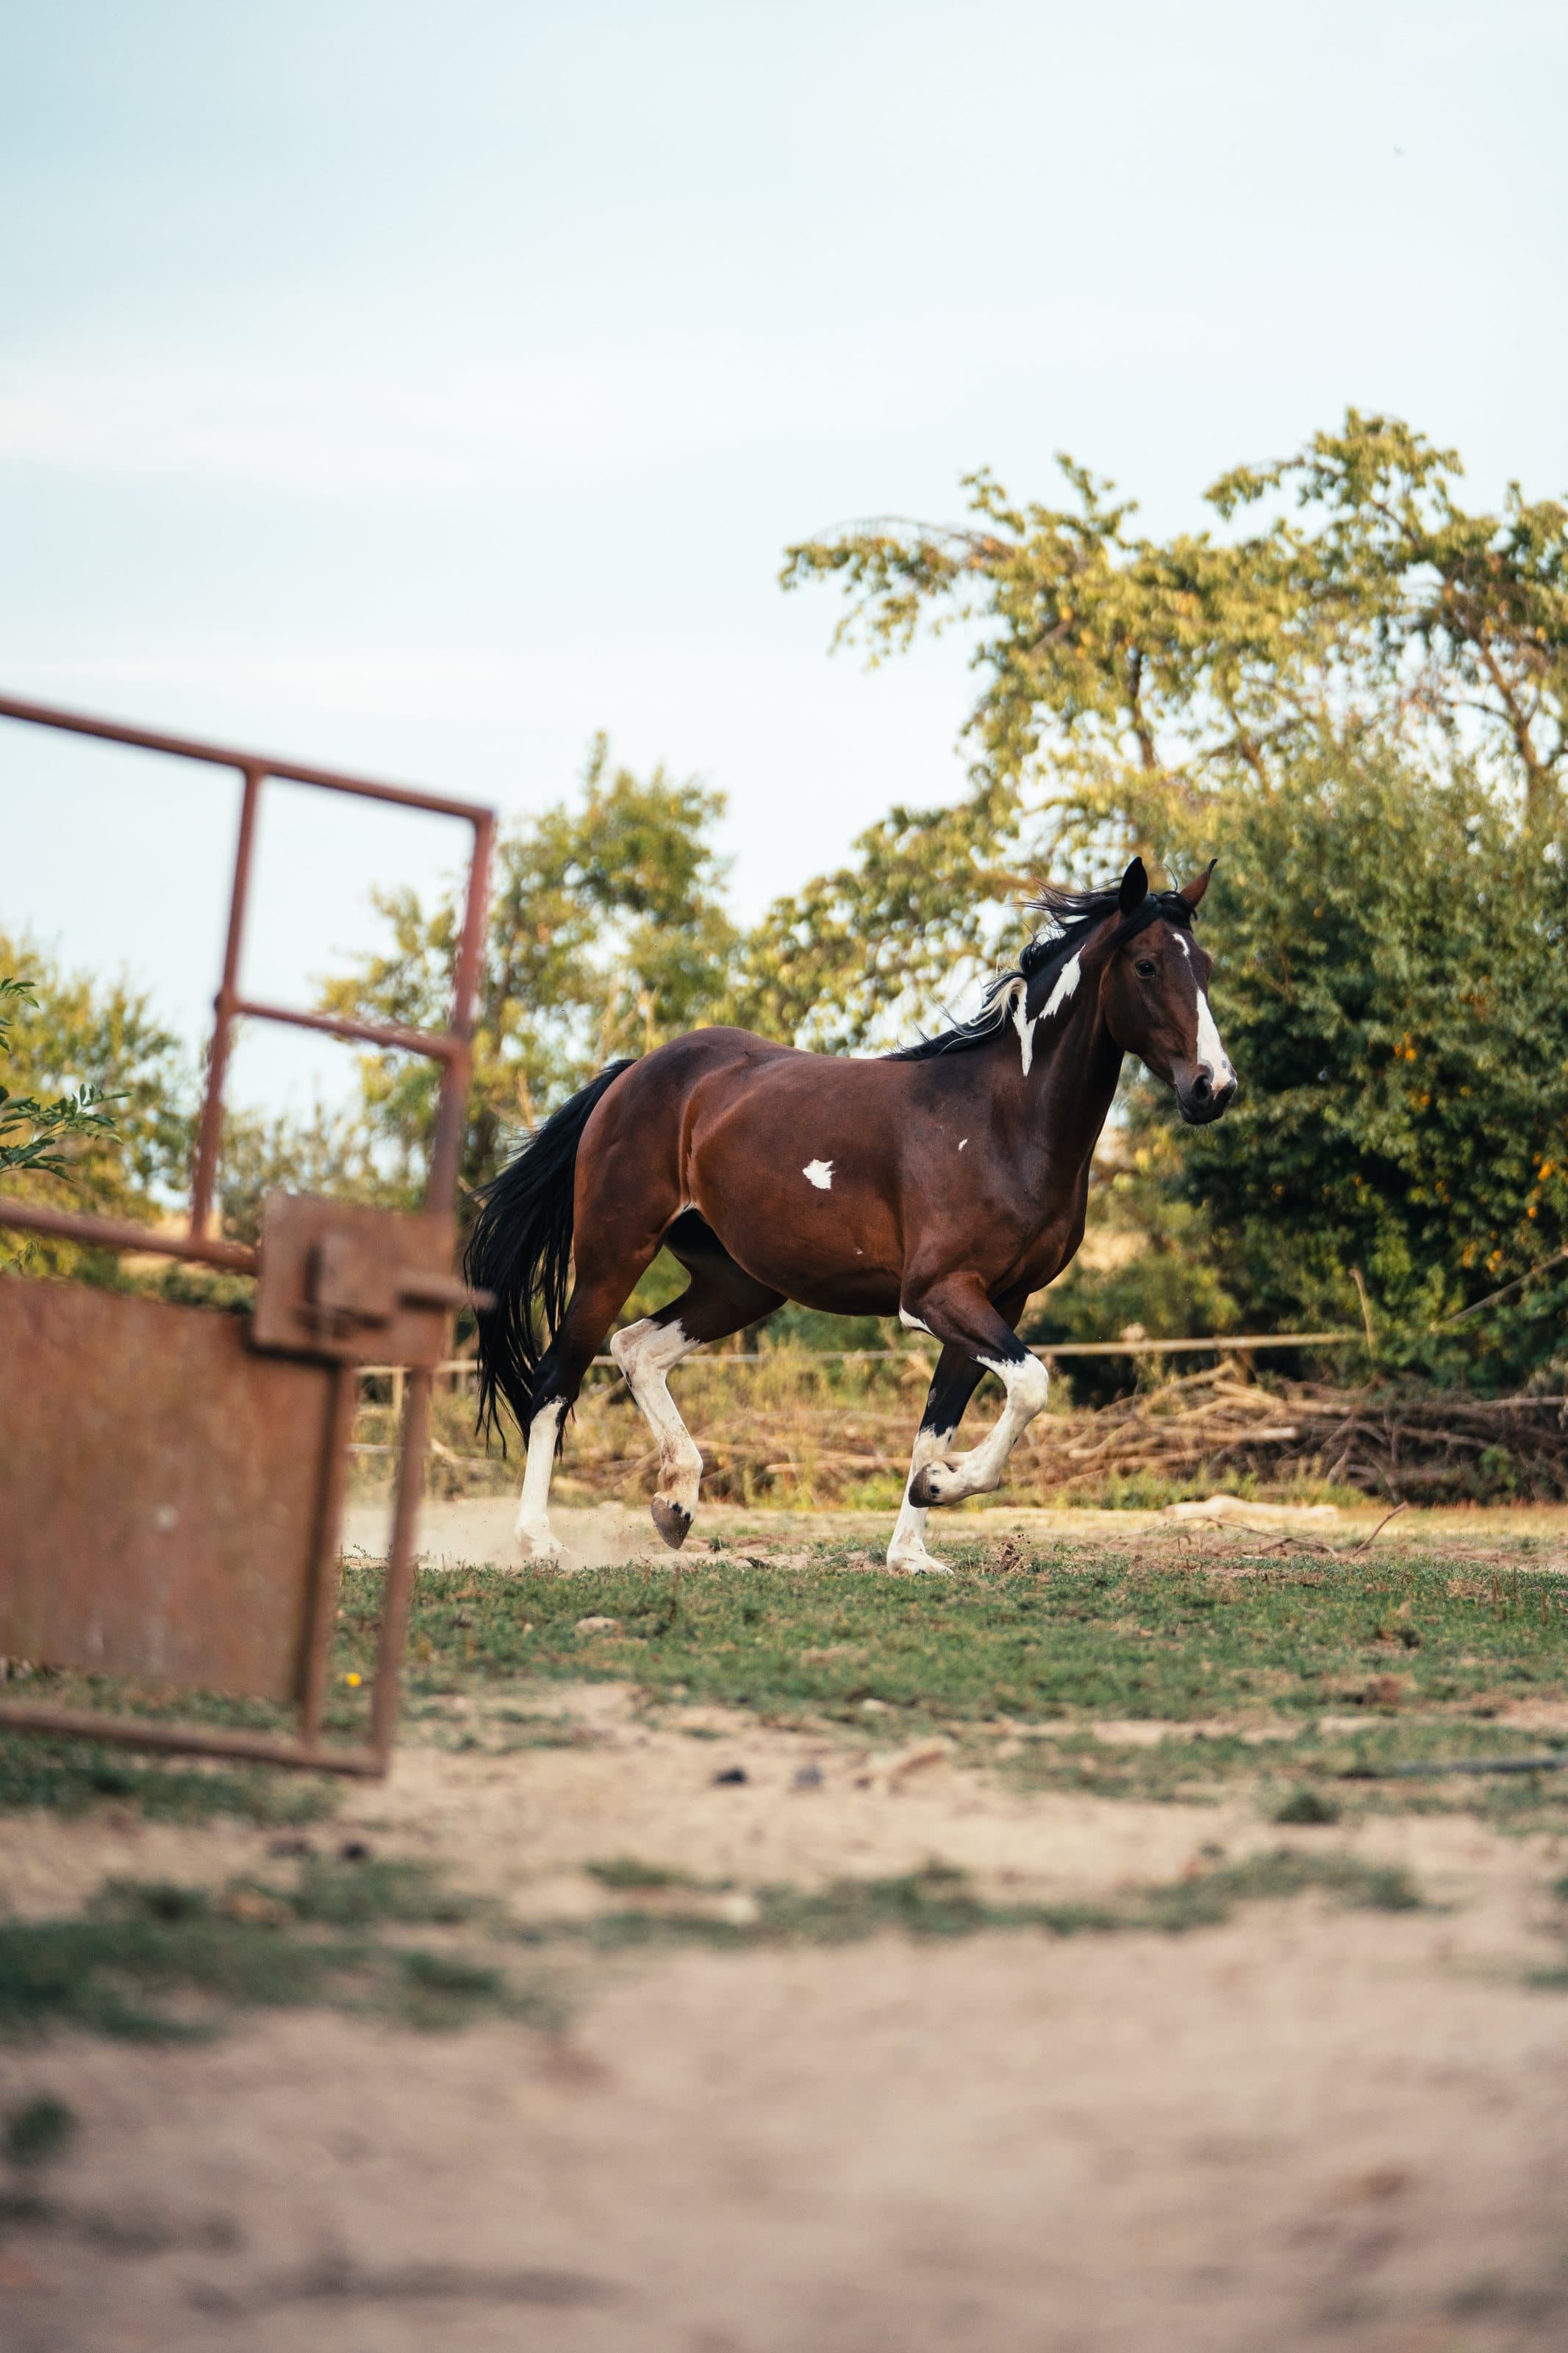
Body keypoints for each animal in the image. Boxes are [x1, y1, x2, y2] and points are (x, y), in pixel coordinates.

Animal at [466, 856, 1236, 1572]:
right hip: (613, 1254)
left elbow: (939, 1424)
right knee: (556, 1378)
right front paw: (943, 1487)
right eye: (1146, 964)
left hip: (740, 1283)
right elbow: (1032, 1385)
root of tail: (633, 1073)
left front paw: (914, 1540)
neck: (1002, 1120)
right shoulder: (934, 1295)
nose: (1214, 1088)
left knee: (636, 1349)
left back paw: (675, 1503)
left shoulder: (1000, 1301)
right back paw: (539, 1541)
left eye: (1202, 966)